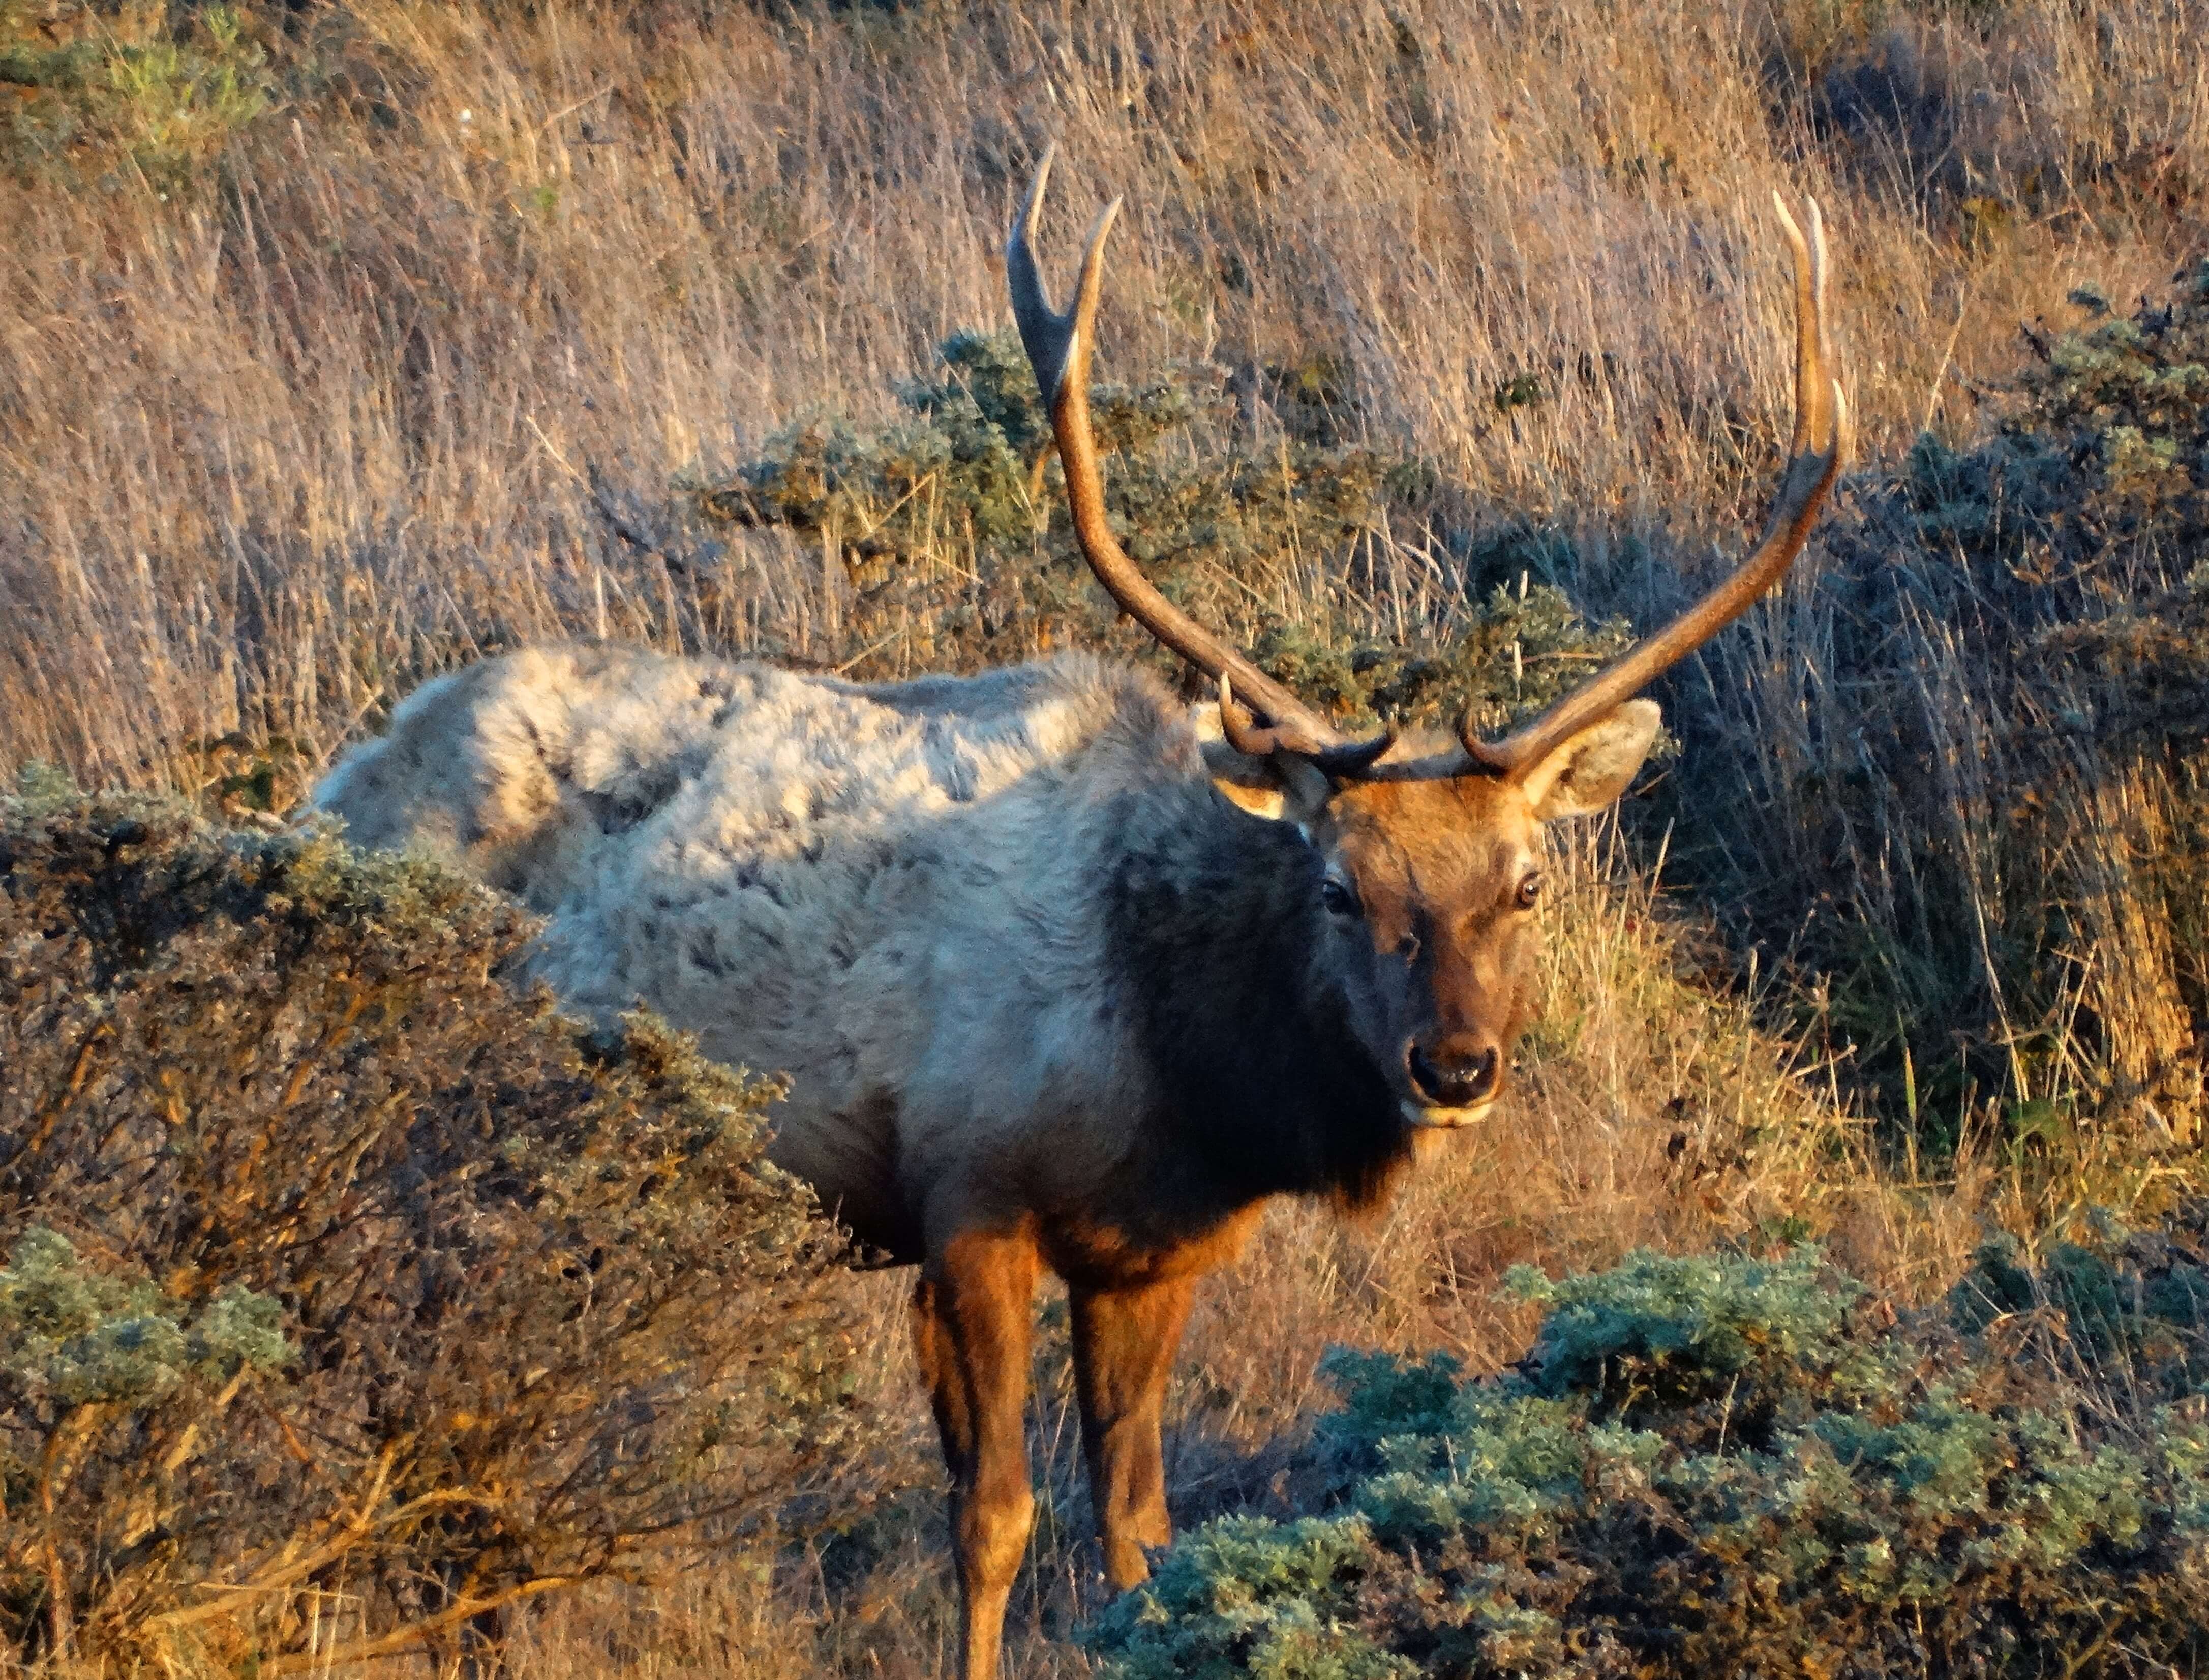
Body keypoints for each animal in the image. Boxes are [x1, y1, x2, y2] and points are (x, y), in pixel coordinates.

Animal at [311, 150, 1847, 1680]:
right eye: (1337, 885)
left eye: (1525, 884)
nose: (1454, 1065)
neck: (1178, 1061)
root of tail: (339, 780)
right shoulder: (966, 1190)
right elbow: (993, 1517)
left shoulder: (1153, 1249)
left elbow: (1136, 1524)